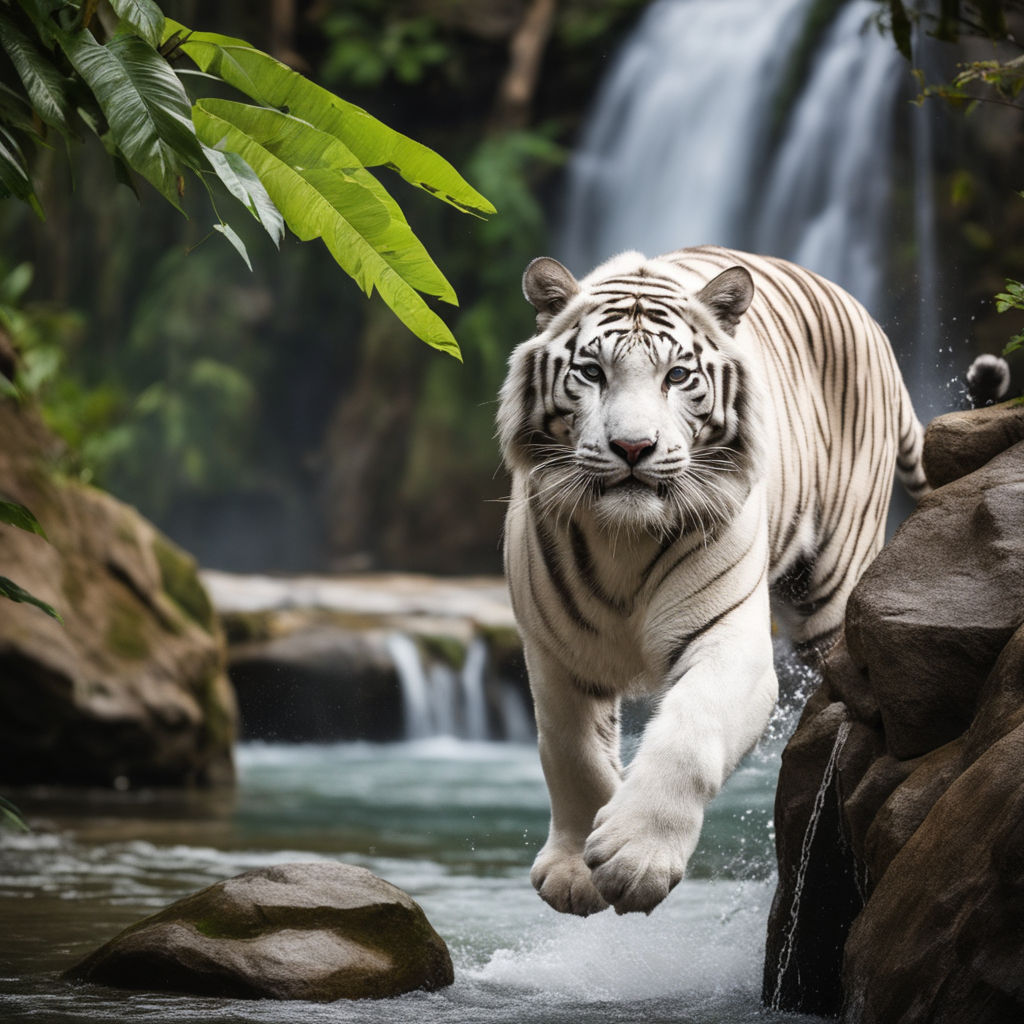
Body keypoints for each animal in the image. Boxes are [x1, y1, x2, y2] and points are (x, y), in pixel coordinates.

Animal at [499, 243, 933, 917]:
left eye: (676, 377)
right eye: (592, 373)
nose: (633, 447)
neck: (623, 537)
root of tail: (865, 315)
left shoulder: (731, 643)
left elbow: (687, 732)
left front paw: (635, 859)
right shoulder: (554, 651)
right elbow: (570, 750)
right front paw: (574, 872)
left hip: (834, 579)